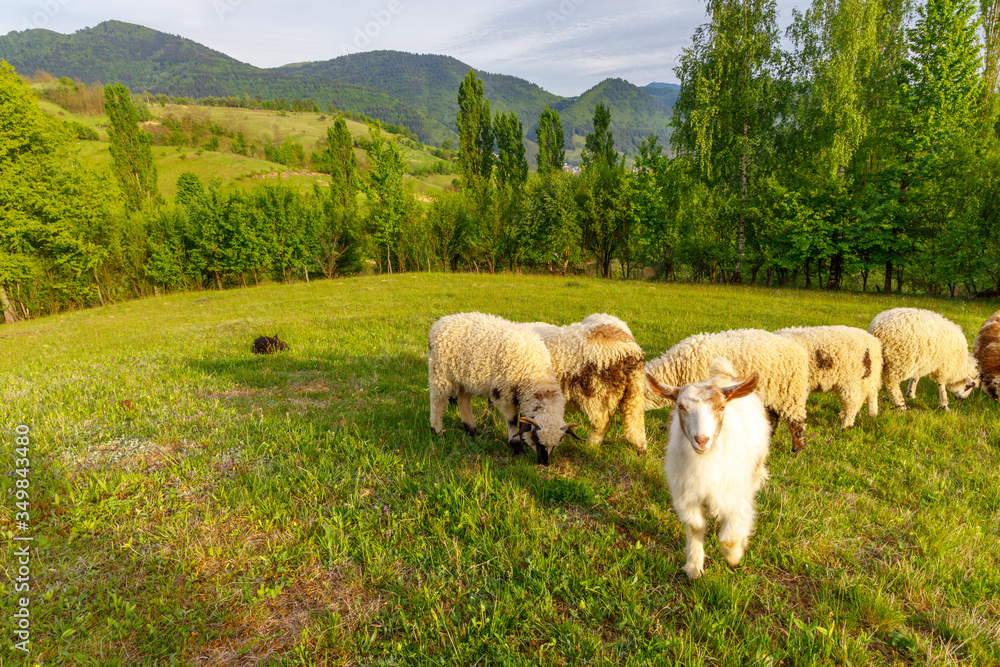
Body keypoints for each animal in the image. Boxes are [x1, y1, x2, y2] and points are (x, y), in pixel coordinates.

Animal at [428, 312, 579, 465]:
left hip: (465, 378)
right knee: (437, 401)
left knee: (463, 400)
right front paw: (516, 447)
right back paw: (437, 430)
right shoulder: (504, 393)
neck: (534, 372)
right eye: (536, 438)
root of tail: (441, 322)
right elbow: (512, 420)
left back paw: (472, 431)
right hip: (440, 373)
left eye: (558, 442)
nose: (544, 463)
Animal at [518, 313, 648, 455]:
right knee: (636, 420)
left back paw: (590, 447)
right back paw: (641, 447)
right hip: (633, 392)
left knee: (601, 422)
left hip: (596, 392)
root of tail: (630, 350)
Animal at [648, 357, 771, 580]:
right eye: (680, 406)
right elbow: (695, 526)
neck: (704, 460)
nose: (702, 440)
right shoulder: (687, 495)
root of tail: (727, 374)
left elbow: (731, 535)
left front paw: (734, 556)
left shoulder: (736, 493)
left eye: (721, 407)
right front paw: (694, 567)